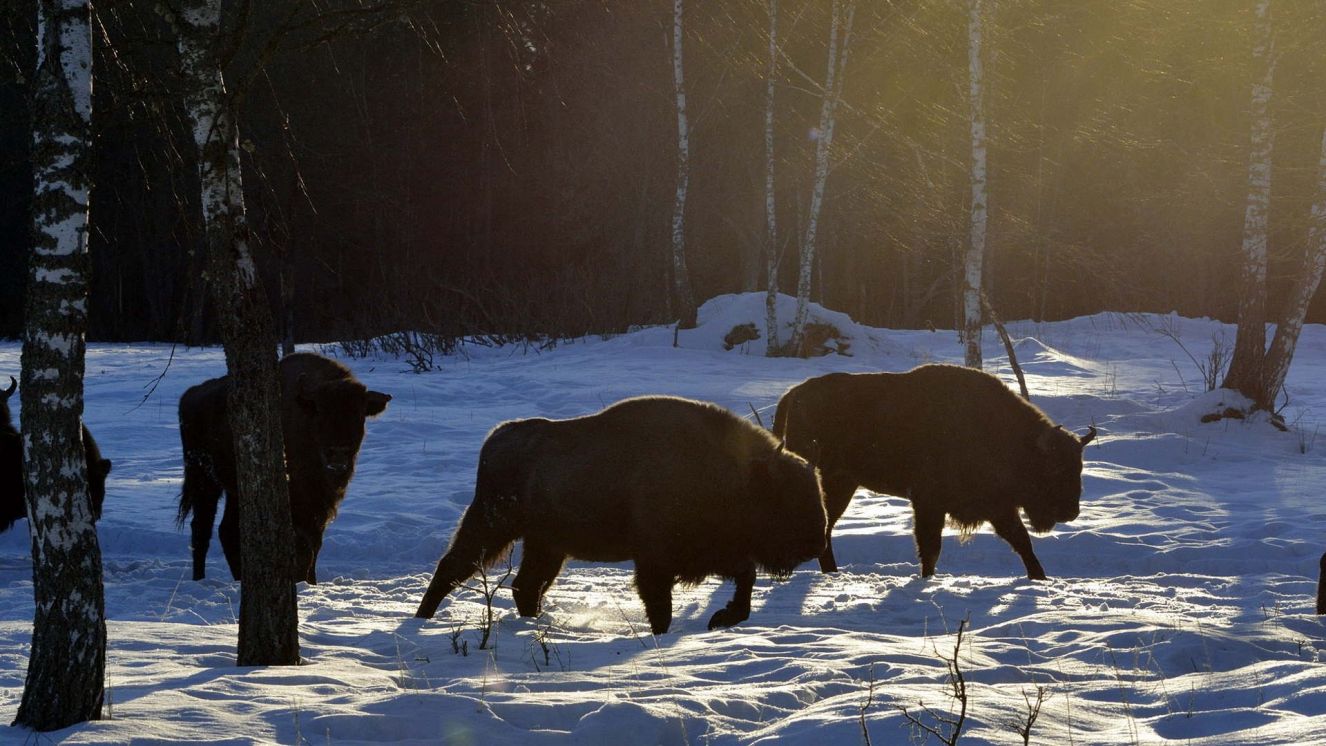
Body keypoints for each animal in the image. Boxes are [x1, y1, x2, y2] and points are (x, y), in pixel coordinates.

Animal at [175, 352, 387, 585]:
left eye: (359, 414)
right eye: (320, 411)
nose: (338, 453)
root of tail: (191, 395)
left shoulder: (320, 505)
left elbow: (315, 545)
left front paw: (311, 583)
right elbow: (304, 547)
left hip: (236, 490)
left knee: (227, 530)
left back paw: (239, 579)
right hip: (203, 480)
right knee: (201, 529)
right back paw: (199, 580)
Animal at [413, 397, 827, 636]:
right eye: (785, 500)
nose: (817, 542)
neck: (736, 475)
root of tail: (496, 439)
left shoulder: (716, 555)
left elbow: (746, 579)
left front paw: (721, 617)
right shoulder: (656, 561)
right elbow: (660, 604)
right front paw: (665, 632)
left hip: (547, 545)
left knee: (525, 585)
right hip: (493, 525)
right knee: (453, 566)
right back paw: (421, 619)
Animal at [774, 365, 1092, 580]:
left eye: (1079, 466)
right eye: (1053, 468)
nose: (1070, 511)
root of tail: (793, 395)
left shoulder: (998, 506)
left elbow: (1021, 541)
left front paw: (1040, 577)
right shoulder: (929, 503)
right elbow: (931, 547)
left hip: (843, 484)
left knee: (826, 530)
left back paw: (832, 573)